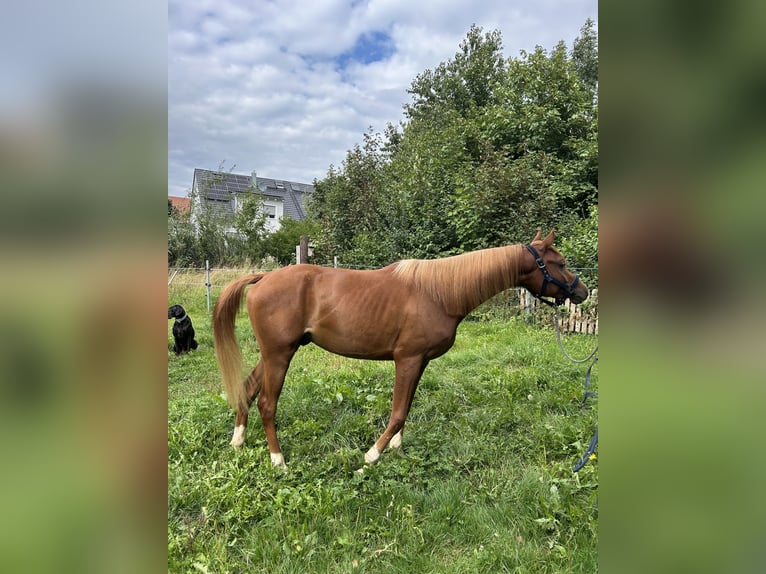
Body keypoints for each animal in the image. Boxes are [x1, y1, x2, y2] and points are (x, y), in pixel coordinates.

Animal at [213, 229, 588, 470]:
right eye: (559, 262)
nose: (581, 291)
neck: (439, 294)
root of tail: (262, 278)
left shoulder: (419, 362)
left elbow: (406, 409)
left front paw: (397, 449)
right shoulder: (406, 360)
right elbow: (396, 412)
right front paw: (371, 457)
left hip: (275, 353)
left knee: (247, 389)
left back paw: (238, 441)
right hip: (279, 354)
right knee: (267, 403)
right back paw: (278, 460)